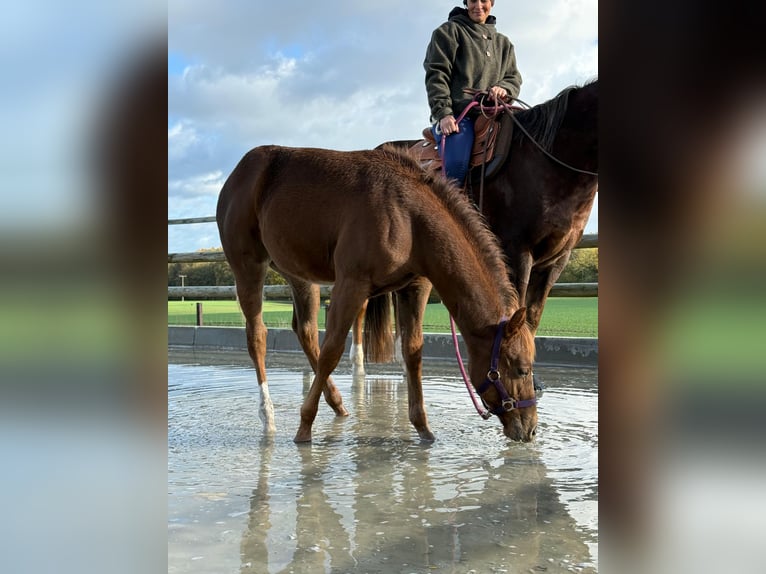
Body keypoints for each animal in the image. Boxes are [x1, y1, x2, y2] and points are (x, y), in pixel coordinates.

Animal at [216, 145, 537, 443]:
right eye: (522, 369)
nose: (531, 429)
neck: (407, 216)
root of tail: (239, 172)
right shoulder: (351, 284)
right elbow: (332, 350)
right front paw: (304, 427)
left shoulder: (414, 287)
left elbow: (412, 351)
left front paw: (423, 428)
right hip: (248, 267)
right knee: (257, 336)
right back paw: (268, 416)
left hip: (299, 275)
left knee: (305, 331)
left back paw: (337, 404)